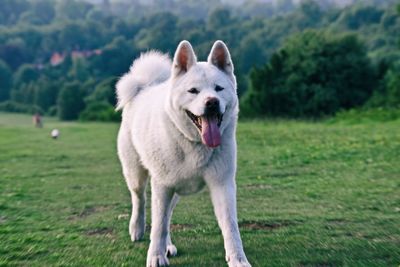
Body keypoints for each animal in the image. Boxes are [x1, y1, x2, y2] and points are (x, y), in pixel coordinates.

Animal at [115, 40, 252, 267]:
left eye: (218, 88)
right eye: (193, 91)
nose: (212, 102)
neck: (195, 143)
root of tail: (145, 87)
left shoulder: (222, 184)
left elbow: (231, 227)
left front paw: (237, 260)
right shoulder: (162, 186)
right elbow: (158, 225)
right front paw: (156, 257)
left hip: (175, 190)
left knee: (166, 217)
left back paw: (167, 245)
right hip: (137, 175)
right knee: (140, 200)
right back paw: (137, 229)